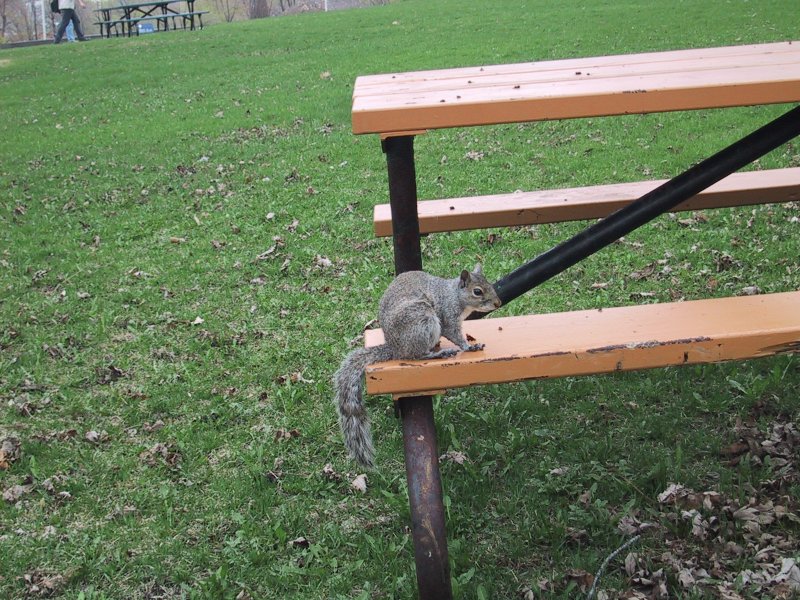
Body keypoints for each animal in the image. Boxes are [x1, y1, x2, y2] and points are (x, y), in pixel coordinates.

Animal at [334, 264, 502, 467]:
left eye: (489, 283)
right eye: (477, 291)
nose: (498, 303)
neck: (453, 294)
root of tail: (395, 347)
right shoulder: (448, 316)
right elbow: (454, 335)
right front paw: (469, 347)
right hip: (422, 320)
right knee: (416, 355)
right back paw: (437, 353)